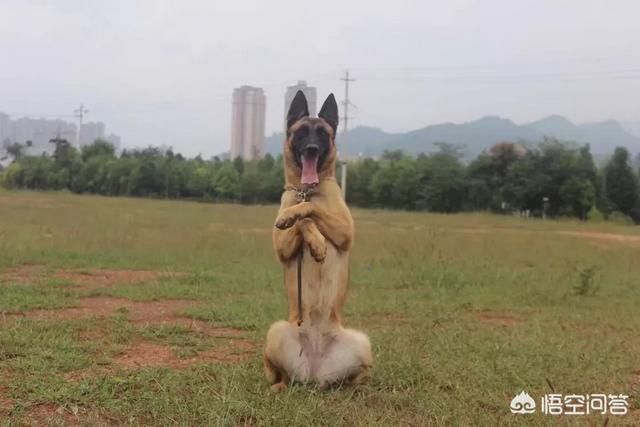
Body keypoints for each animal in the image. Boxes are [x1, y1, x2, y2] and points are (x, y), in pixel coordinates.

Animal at [262, 92, 372, 392]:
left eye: (323, 133)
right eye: (301, 132)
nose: (311, 148)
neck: (307, 189)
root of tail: (314, 371)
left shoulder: (345, 231)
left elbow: (310, 210)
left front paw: (317, 242)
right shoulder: (282, 248)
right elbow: (302, 217)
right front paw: (310, 237)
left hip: (363, 343)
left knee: (351, 377)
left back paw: (349, 388)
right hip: (275, 331)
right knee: (282, 375)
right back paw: (279, 386)